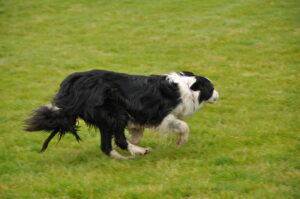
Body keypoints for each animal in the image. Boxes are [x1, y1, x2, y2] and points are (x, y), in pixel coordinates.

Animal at [24, 69, 219, 159]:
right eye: (212, 88)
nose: (219, 95)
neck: (186, 87)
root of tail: (72, 86)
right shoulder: (160, 115)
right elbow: (182, 126)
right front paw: (180, 142)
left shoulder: (137, 116)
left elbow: (137, 132)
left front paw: (134, 139)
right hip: (114, 114)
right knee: (117, 139)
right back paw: (139, 152)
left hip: (108, 118)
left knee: (106, 146)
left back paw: (123, 157)